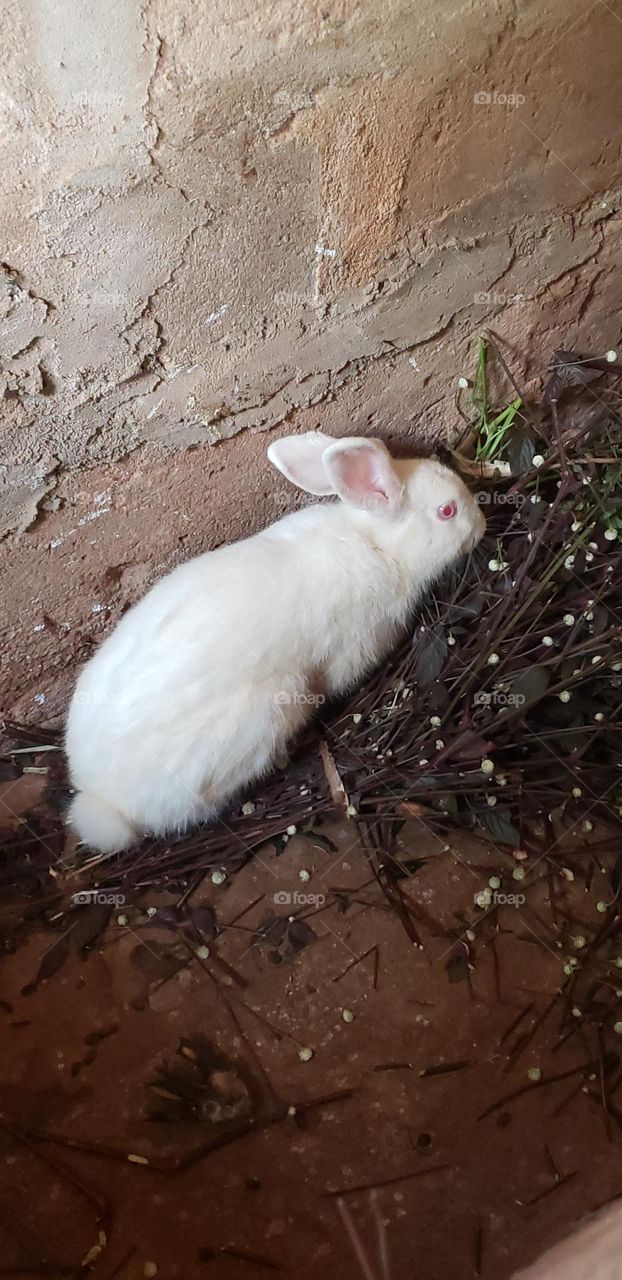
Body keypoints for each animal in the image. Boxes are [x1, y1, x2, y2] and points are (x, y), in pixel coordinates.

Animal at [65, 432, 486, 853]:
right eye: (447, 511)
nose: (481, 527)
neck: (381, 546)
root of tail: (102, 799)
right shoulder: (355, 647)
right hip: (266, 715)